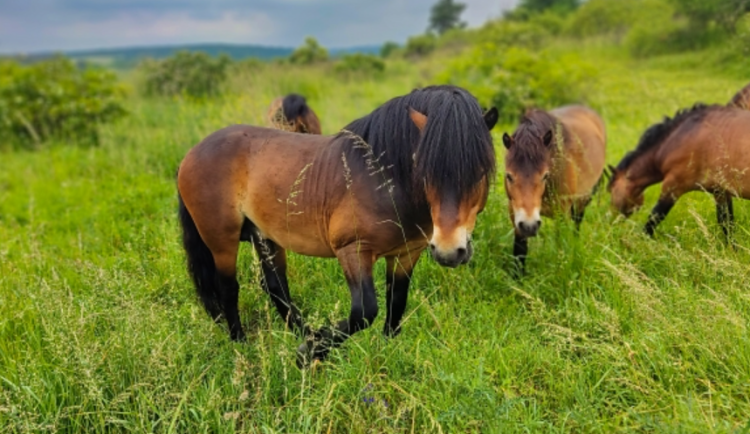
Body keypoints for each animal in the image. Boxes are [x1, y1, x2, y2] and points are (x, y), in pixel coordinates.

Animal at [175, 85, 500, 366]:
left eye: (481, 171)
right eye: (424, 169)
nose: (449, 251)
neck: (383, 178)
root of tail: (192, 152)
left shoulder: (407, 253)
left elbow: (396, 304)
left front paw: (384, 351)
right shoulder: (353, 250)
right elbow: (365, 311)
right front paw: (309, 353)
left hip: (265, 237)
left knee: (276, 287)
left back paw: (304, 332)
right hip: (222, 241)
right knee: (228, 289)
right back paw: (242, 343)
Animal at [502, 105, 608, 272]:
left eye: (545, 175)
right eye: (509, 176)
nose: (530, 226)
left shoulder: (562, 213)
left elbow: (560, 246)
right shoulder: (515, 215)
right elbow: (520, 251)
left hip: (582, 199)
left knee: (577, 222)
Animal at [608, 104, 750, 239]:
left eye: (611, 189)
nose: (610, 220)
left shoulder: (673, 186)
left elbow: (654, 219)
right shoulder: (720, 191)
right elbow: (727, 225)